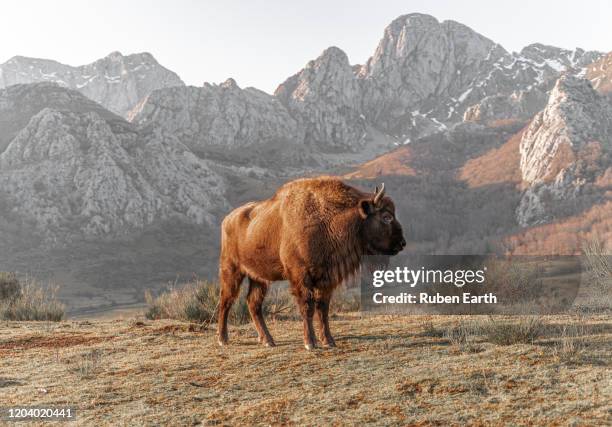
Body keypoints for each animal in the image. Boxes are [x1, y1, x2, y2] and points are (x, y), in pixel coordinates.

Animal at [216, 176, 406, 350]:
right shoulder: (301, 276)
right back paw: (223, 339)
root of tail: (227, 219)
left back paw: (268, 340)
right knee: (226, 300)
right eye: (386, 216)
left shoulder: (326, 279)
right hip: (232, 270)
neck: (329, 219)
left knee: (253, 303)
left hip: (259, 278)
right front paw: (310, 343)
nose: (402, 243)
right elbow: (307, 306)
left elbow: (323, 308)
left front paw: (329, 341)